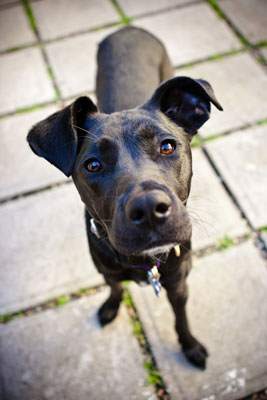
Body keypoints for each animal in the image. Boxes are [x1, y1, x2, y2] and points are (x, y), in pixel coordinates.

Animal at [27, 27, 224, 368]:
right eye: (93, 165)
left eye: (167, 146)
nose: (149, 209)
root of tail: (128, 29)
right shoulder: (106, 270)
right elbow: (116, 287)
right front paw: (111, 306)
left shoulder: (178, 284)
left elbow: (181, 319)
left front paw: (190, 346)